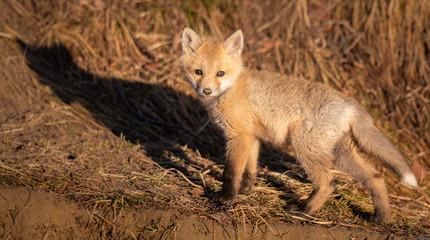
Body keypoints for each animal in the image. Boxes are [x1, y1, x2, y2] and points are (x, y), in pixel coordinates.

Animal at [180, 27, 418, 222]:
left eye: (220, 73)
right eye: (198, 72)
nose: (206, 91)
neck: (232, 88)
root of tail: (350, 103)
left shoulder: (238, 136)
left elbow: (230, 172)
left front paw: (226, 198)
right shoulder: (252, 136)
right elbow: (250, 169)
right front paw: (246, 191)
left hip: (305, 147)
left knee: (328, 183)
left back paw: (304, 211)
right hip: (343, 155)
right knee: (375, 178)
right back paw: (381, 218)